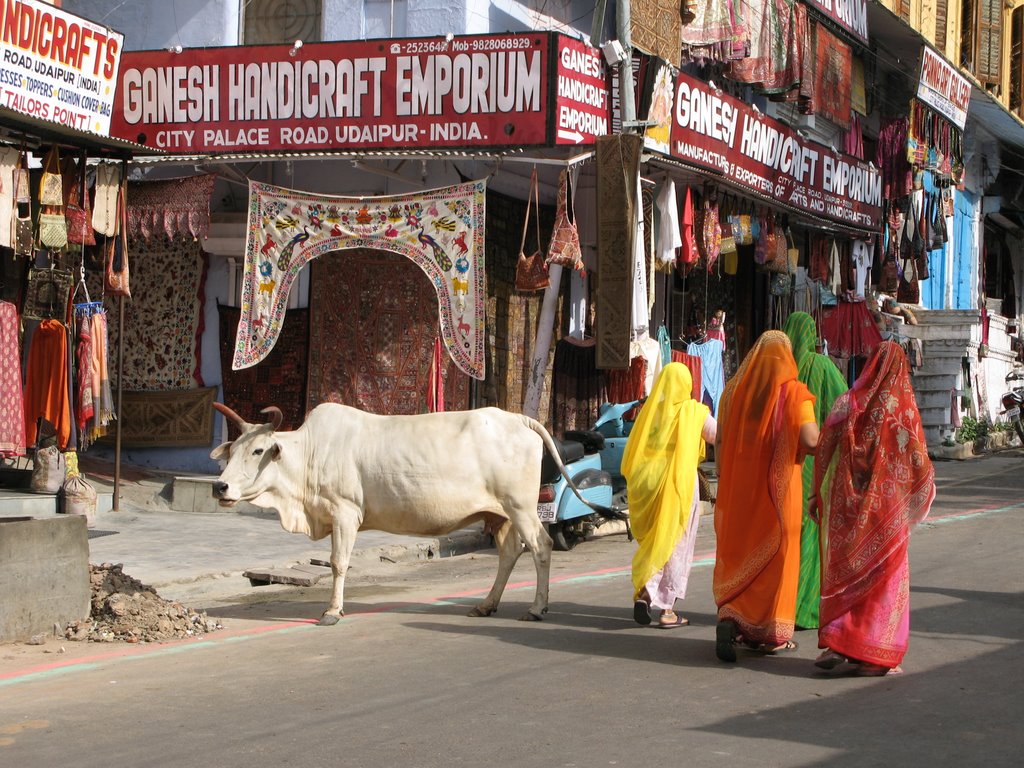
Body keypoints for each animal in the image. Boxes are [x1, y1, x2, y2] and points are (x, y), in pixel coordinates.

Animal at [209, 403, 577, 626]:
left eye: (258, 450)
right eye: (233, 450)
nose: (220, 487)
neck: (309, 455)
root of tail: (517, 418)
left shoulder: (345, 513)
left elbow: (338, 564)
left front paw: (332, 611)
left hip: (521, 507)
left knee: (540, 546)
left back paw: (536, 608)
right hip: (500, 514)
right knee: (510, 552)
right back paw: (486, 605)